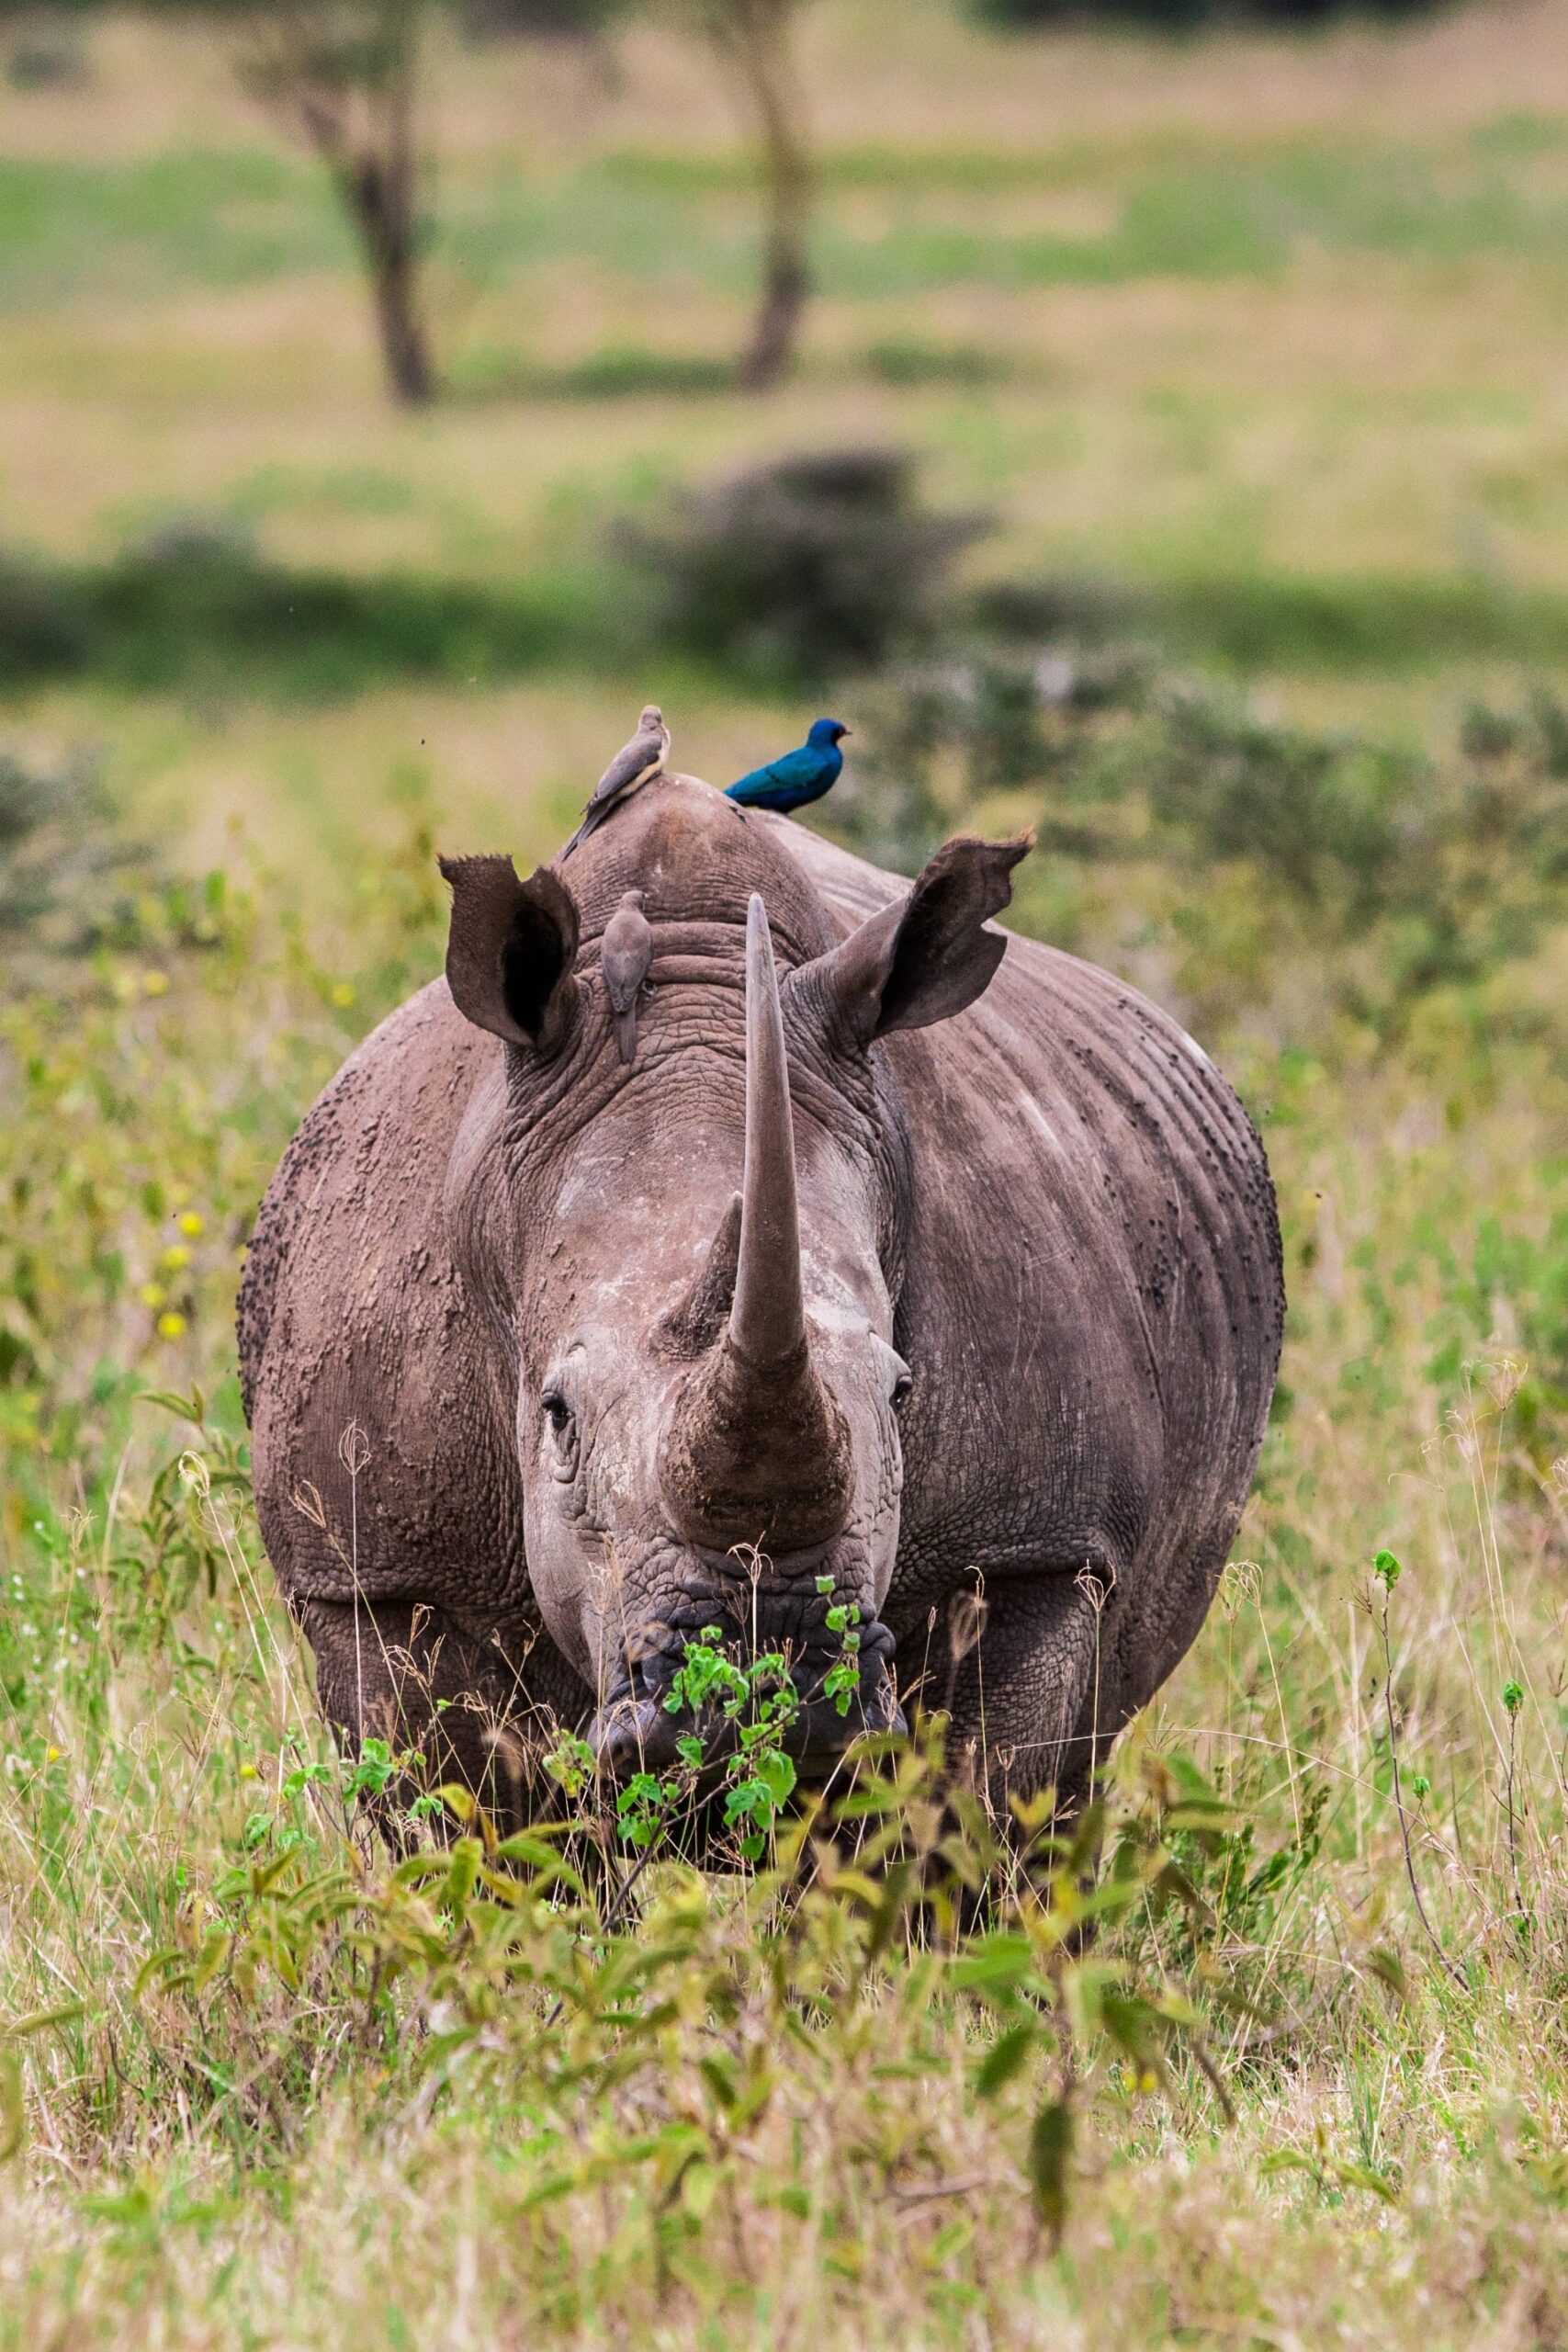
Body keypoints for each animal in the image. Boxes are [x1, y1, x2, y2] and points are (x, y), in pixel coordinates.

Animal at [237, 774, 1282, 1824]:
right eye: (557, 1415)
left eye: (902, 1393)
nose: (769, 1693)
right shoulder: (379, 1573)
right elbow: (468, 1817)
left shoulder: (1038, 1544)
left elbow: (971, 1813)